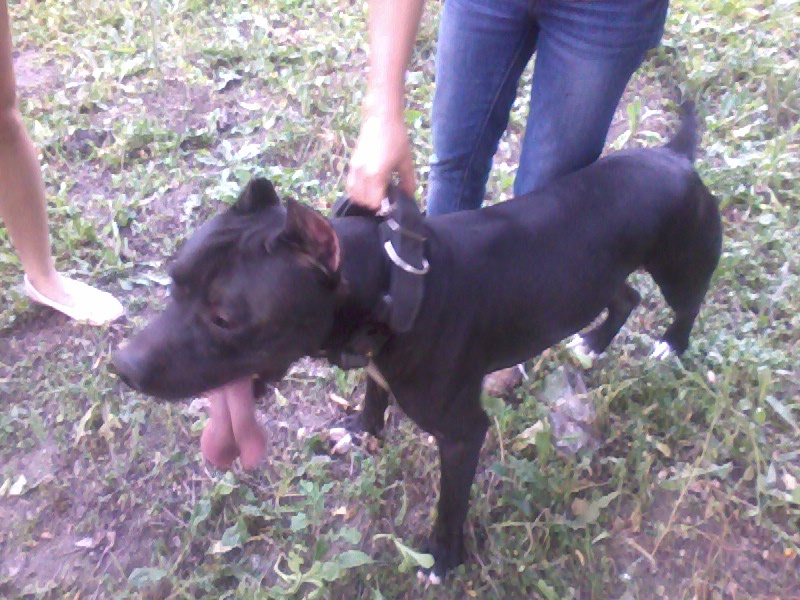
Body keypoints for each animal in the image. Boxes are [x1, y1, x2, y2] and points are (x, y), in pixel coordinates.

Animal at [113, 103, 722, 582]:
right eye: (173, 281)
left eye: (224, 318)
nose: (122, 366)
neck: (390, 284)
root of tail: (675, 157)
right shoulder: (377, 365)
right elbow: (373, 393)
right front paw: (363, 431)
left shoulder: (462, 434)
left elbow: (451, 503)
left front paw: (444, 557)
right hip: (598, 274)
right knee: (625, 296)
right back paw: (593, 343)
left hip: (681, 265)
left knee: (684, 303)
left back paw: (671, 345)